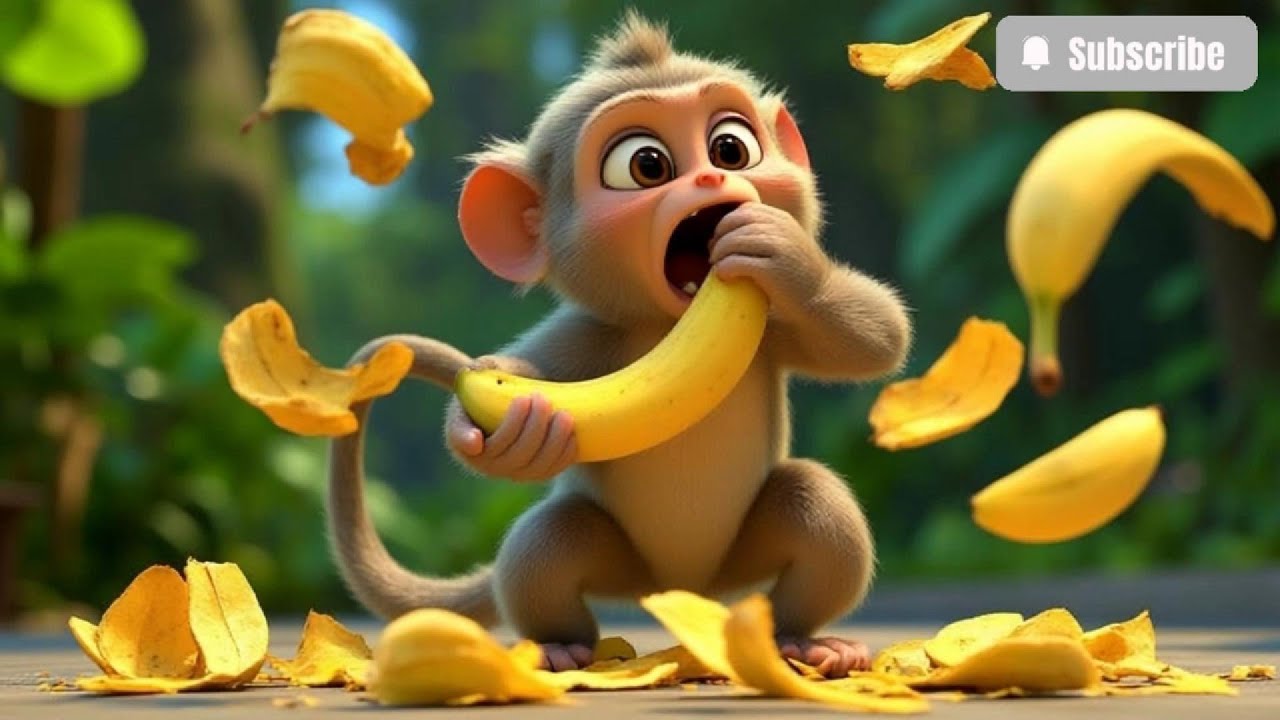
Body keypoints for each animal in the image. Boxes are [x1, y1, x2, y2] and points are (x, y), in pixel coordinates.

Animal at [327, 12, 911, 678]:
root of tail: (685, 585)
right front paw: (503, 424)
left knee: (816, 507)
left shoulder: (774, 325)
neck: (666, 322)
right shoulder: (588, 335)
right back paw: (560, 646)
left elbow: (878, 338)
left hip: (742, 558)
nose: (713, 177)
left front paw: (783, 251)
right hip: (618, 559)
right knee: (550, 541)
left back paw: (807, 641)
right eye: (646, 165)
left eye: (731, 148)